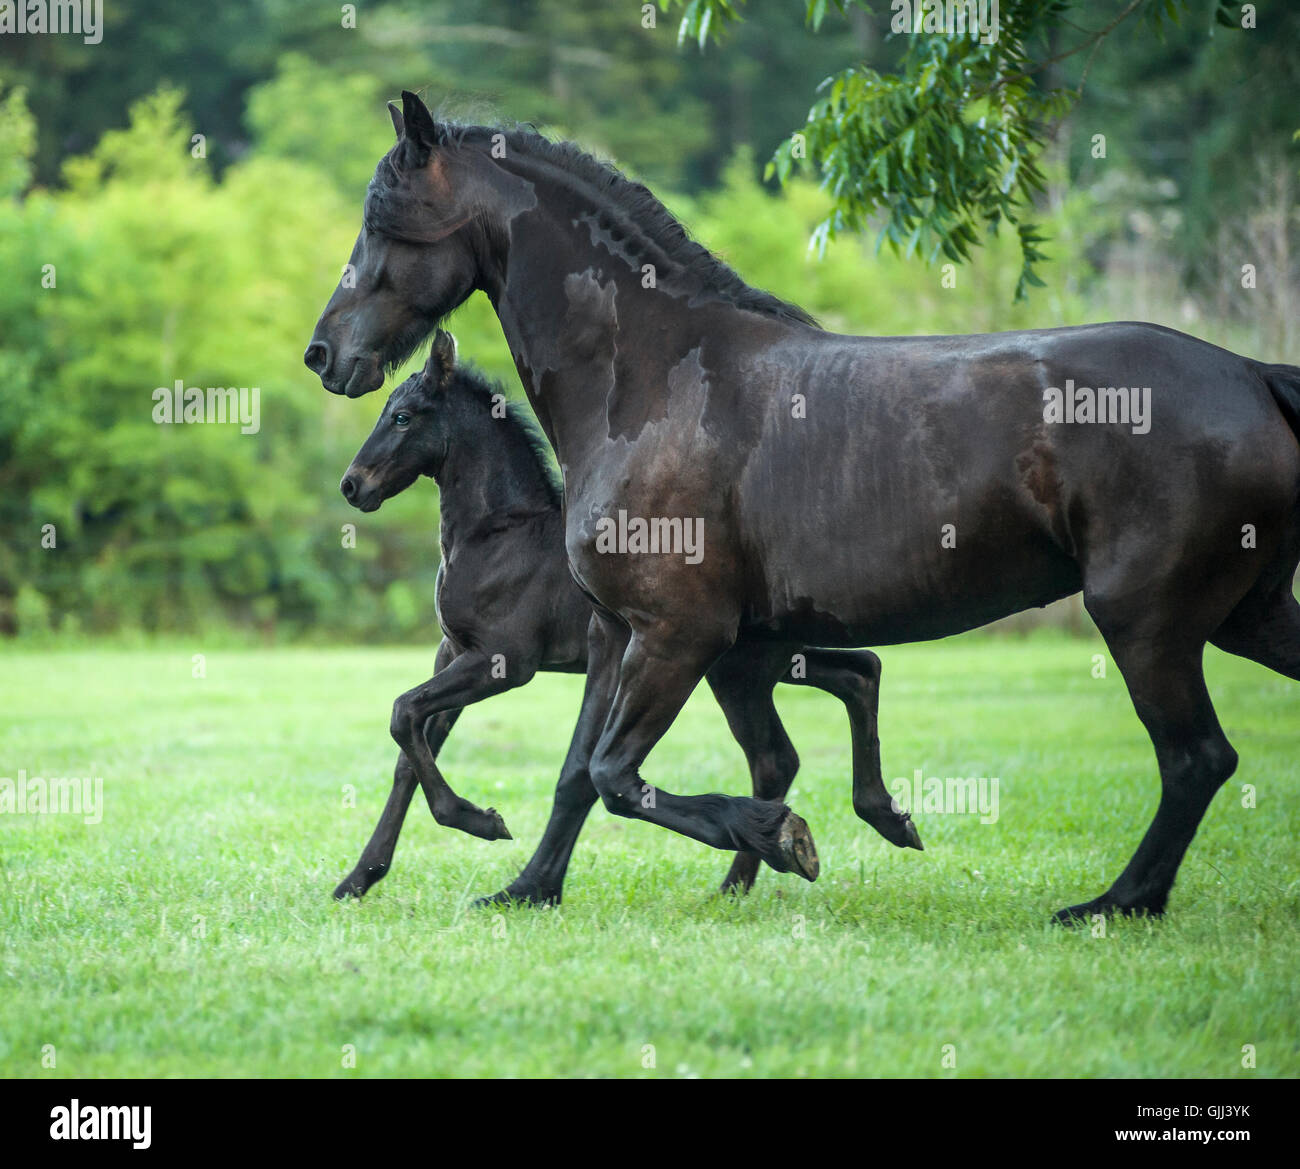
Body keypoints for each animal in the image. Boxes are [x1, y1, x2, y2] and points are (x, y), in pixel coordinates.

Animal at [306, 91, 1300, 920]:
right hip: (1244, 614)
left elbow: (620, 775)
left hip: (1144, 620)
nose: (324, 354)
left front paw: (784, 838)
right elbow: (578, 774)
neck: (651, 380)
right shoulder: (618, 632)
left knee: (1195, 759)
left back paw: (1115, 902)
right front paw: (527, 887)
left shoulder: (677, 634)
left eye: (383, 221)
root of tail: (1253, 375)